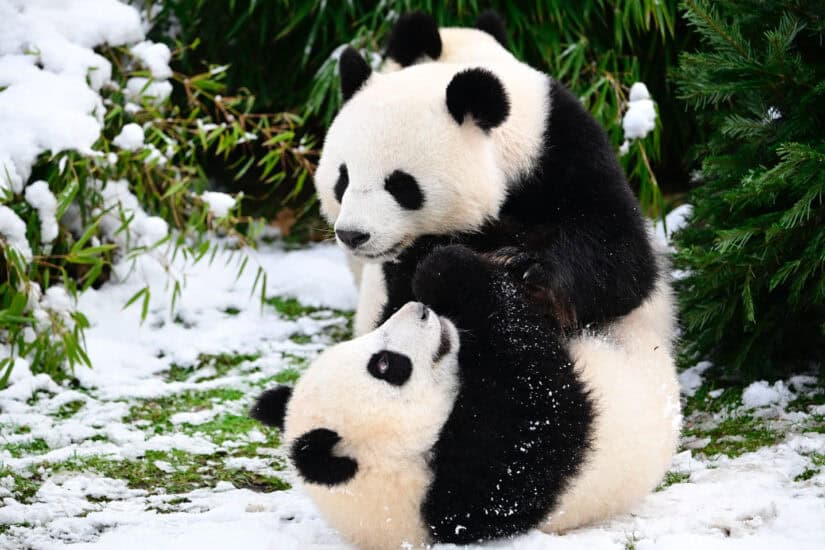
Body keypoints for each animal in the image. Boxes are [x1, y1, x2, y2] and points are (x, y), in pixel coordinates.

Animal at [251, 245, 681, 549]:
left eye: (370, 345)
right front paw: (449, 271)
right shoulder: (482, 490)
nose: (421, 311)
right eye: (385, 365)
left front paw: (421, 266)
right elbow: (541, 401)